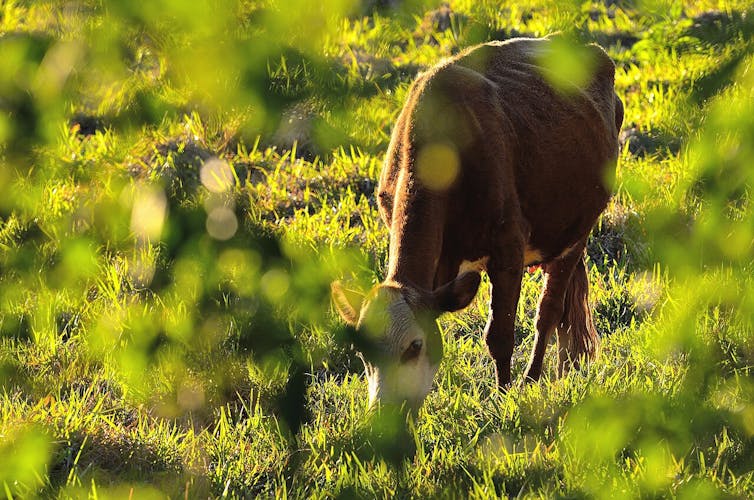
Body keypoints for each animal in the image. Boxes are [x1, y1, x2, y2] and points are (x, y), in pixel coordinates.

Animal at [332, 34, 620, 410]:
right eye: (363, 354)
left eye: (415, 346)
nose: (383, 414)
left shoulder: (508, 247)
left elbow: (500, 334)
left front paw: (503, 398)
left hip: (577, 231)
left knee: (549, 310)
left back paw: (532, 377)